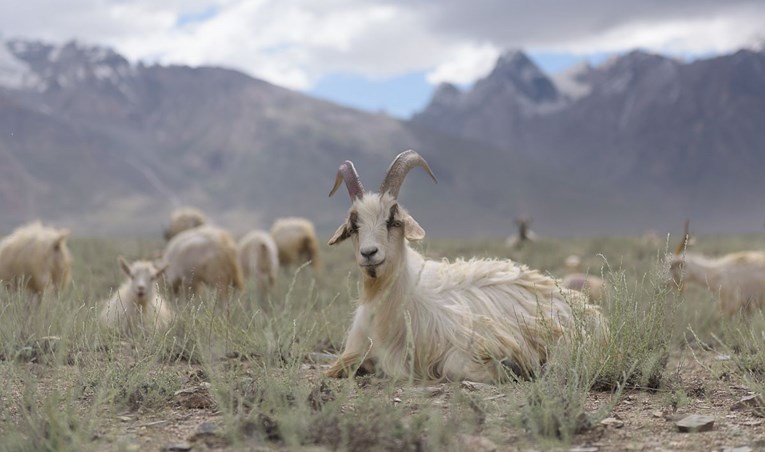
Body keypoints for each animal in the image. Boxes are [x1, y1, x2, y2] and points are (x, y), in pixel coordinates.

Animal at [322, 151, 604, 382]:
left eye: (393, 220)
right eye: (354, 226)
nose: (369, 253)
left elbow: (454, 366)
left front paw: (510, 366)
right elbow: (343, 365)